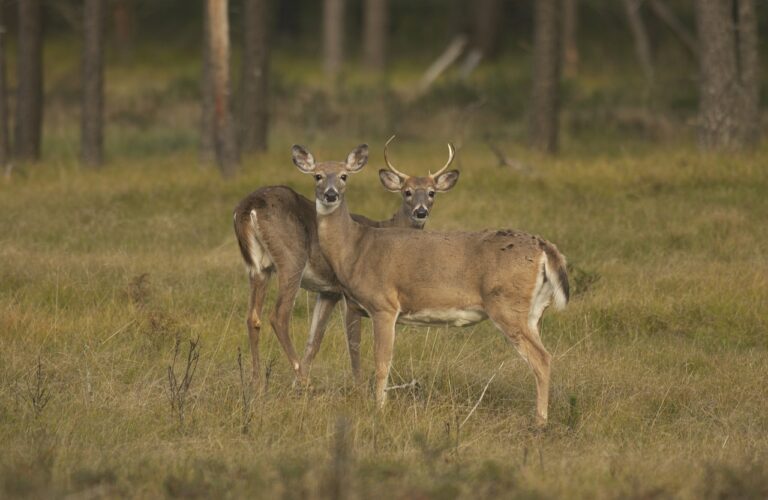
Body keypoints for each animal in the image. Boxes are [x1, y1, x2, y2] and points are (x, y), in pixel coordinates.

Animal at [232, 137, 460, 389]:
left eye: (431, 192)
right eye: (407, 192)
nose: (421, 212)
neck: (384, 227)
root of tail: (249, 207)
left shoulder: (328, 291)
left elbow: (314, 340)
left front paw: (295, 385)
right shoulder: (347, 293)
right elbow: (353, 342)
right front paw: (357, 386)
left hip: (258, 267)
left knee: (253, 317)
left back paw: (257, 383)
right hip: (291, 259)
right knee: (279, 316)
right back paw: (303, 382)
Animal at [291, 143, 569, 425]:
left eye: (344, 176)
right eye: (317, 176)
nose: (331, 194)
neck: (355, 248)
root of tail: (545, 248)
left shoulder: (384, 305)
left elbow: (381, 363)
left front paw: (379, 409)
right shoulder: (359, 305)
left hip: (507, 306)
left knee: (542, 359)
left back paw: (540, 422)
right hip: (534, 311)